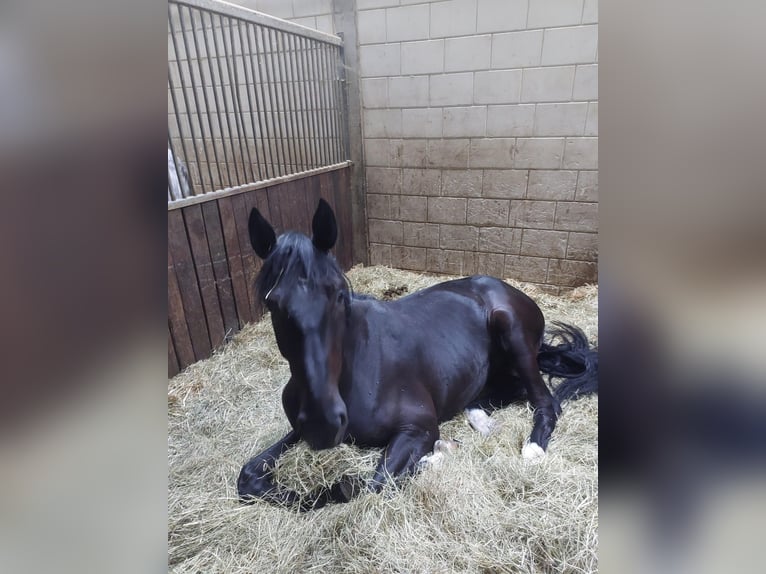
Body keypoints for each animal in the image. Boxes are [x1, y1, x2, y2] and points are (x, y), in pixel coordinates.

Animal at [240, 200, 600, 510]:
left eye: (340, 295)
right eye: (272, 303)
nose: (322, 422)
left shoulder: (419, 428)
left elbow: (368, 486)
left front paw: (439, 455)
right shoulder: (297, 431)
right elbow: (248, 477)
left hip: (512, 332)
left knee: (545, 401)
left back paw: (532, 450)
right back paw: (483, 422)